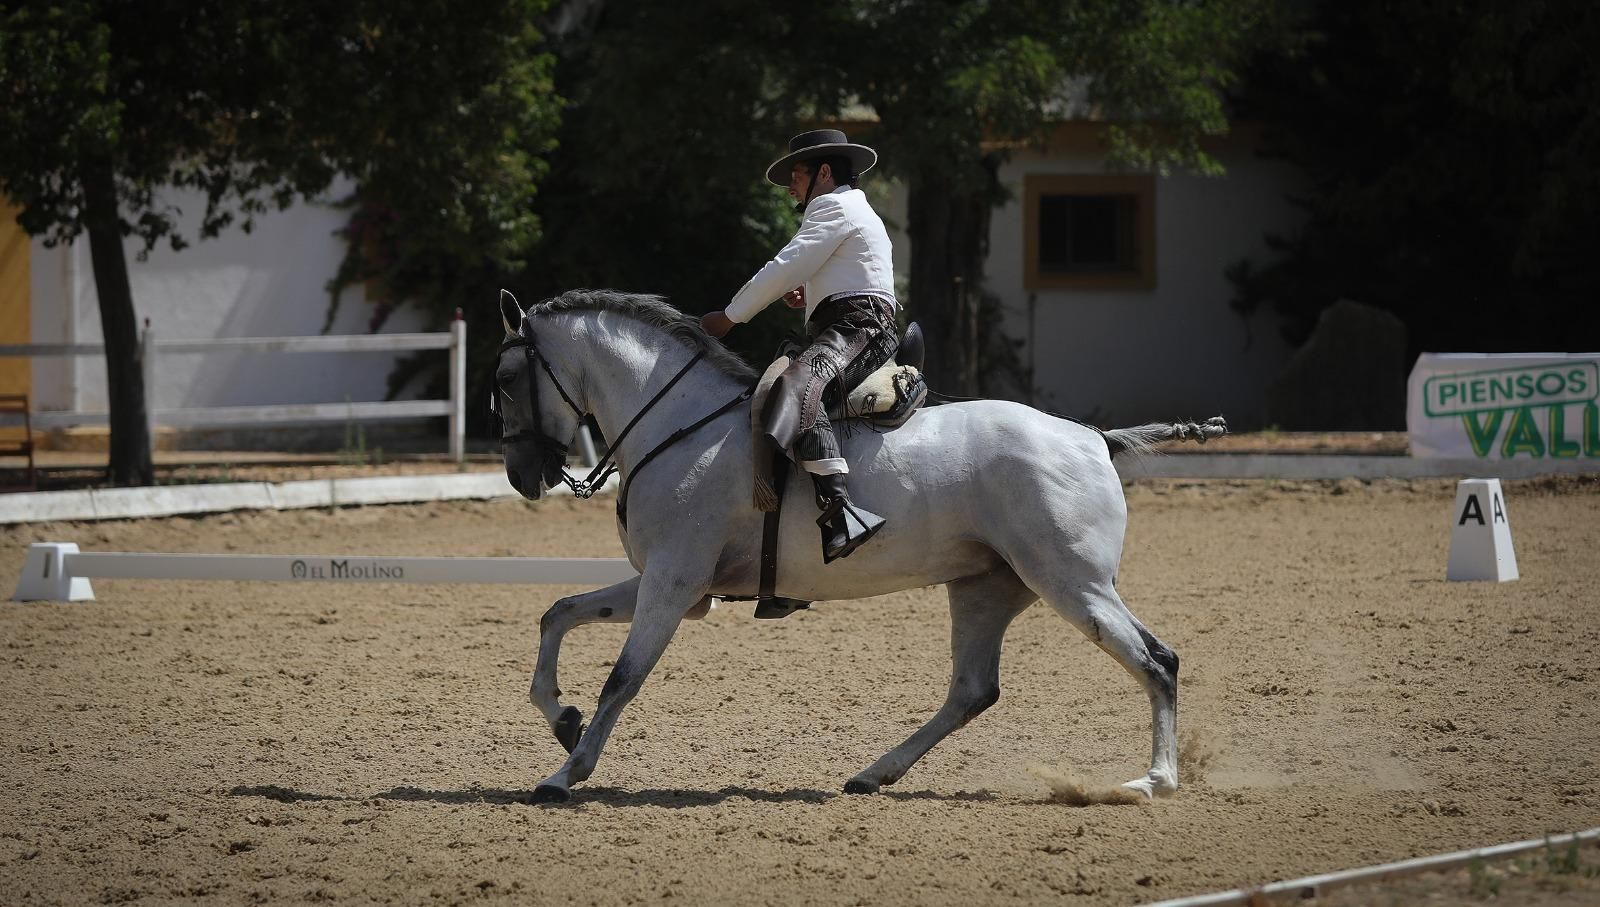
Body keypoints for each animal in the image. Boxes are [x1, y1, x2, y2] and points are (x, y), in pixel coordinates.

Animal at [493, 288, 1225, 803]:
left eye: (505, 379)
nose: (522, 476)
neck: (680, 424)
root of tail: (1092, 436)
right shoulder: (674, 586)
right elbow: (558, 612)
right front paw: (562, 718)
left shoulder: (672, 584)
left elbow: (622, 676)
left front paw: (564, 772)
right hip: (987, 588)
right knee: (971, 690)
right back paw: (873, 774)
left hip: (1075, 586)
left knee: (1157, 660)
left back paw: (1154, 780)